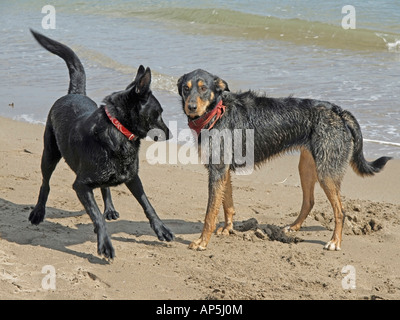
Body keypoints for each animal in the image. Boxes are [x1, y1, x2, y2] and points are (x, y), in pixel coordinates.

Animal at [29, 30, 173, 258]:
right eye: (158, 113)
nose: (170, 134)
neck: (119, 131)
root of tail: (75, 93)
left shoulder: (133, 177)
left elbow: (147, 204)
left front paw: (161, 229)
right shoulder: (80, 186)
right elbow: (96, 215)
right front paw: (105, 244)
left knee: (105, 188)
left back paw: (110, 209)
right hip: (49, 153)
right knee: (45, 183)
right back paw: (38, 212)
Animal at [177, 69, 390, 251]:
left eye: (204, 88)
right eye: (186, 88)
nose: (191, 107)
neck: (216, 112)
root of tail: (339, 111)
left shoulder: (218, 170)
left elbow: (210, 213)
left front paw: (202, 242)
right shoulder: (223, 170)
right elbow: (227, 204)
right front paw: (228, 229)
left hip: (326, 173)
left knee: (340, 211)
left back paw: (334, 241)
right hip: (306, 167)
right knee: (309, 201)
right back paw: (293, 227)